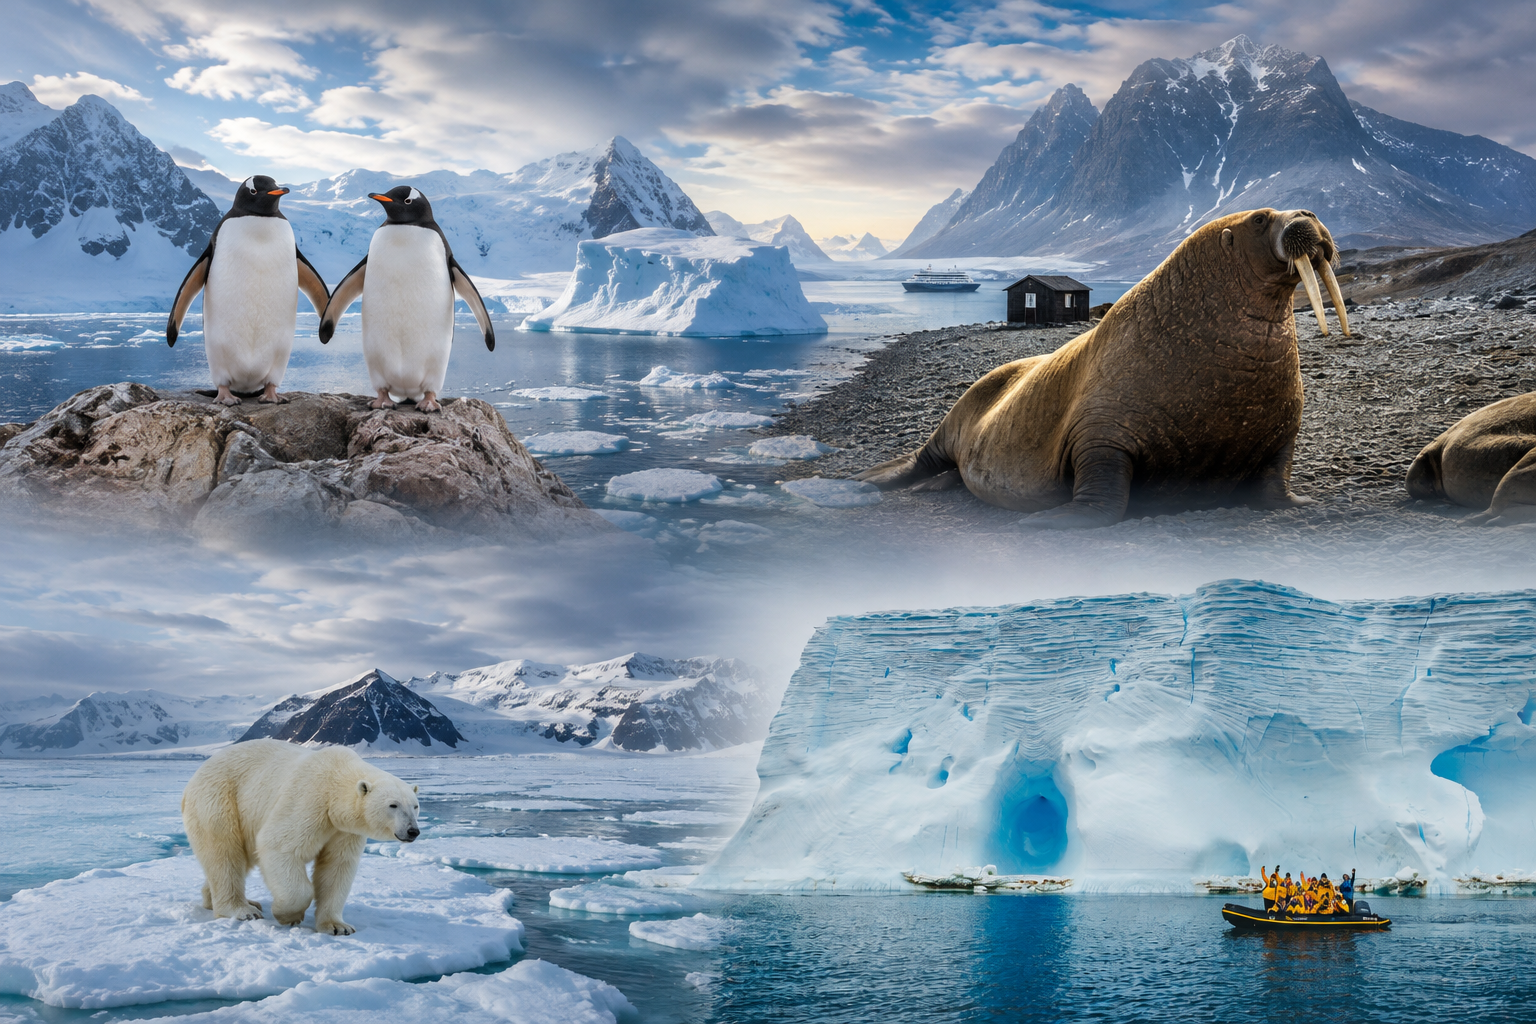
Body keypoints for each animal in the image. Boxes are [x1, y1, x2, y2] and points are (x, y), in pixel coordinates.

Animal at [180, 738, 421, 935]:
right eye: (393, 805)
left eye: (415, 806)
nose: (413, 831)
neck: (335, 783)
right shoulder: (309, 799)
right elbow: (279, 846)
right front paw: (288, 915)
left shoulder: (343, 830)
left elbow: (337, 867)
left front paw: (338, 926)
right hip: (220, 800)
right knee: (225, 854)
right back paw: (244, 910)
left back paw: (225, 900)